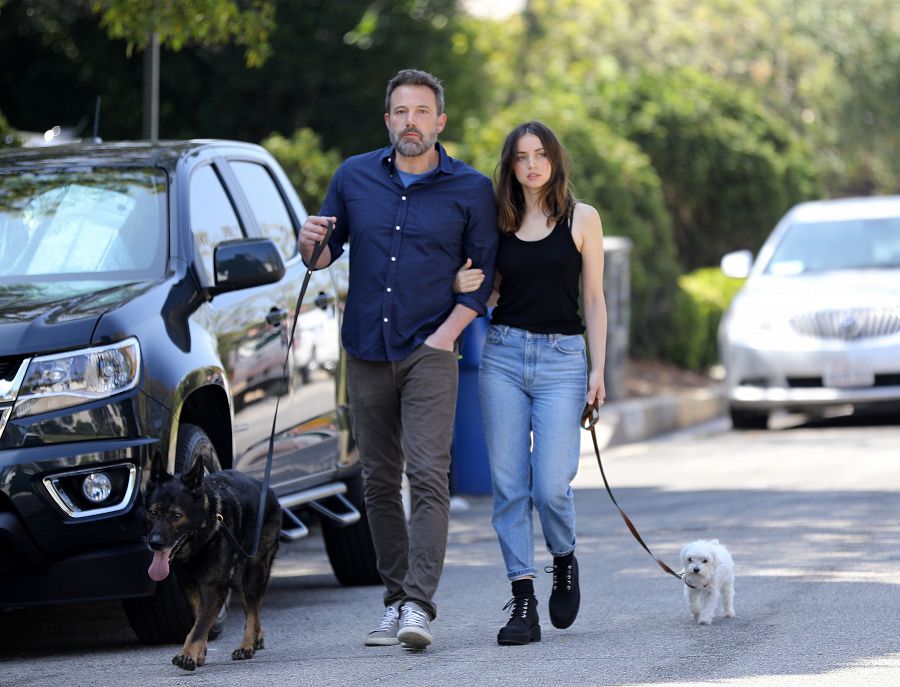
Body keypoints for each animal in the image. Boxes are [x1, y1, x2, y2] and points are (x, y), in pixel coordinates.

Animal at [143, 452, 282, 672]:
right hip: (238, 578)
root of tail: (267, 489)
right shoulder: (190, 587)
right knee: (250, 606)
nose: (154, 543)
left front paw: (187, 655)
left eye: (176, 515)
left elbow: (200, 624)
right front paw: (198, 653)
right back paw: (256, 637)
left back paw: (247, 645)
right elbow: (199, 620)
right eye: (152, 512)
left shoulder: (213, 588)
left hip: (254, 572)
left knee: (253, 607)